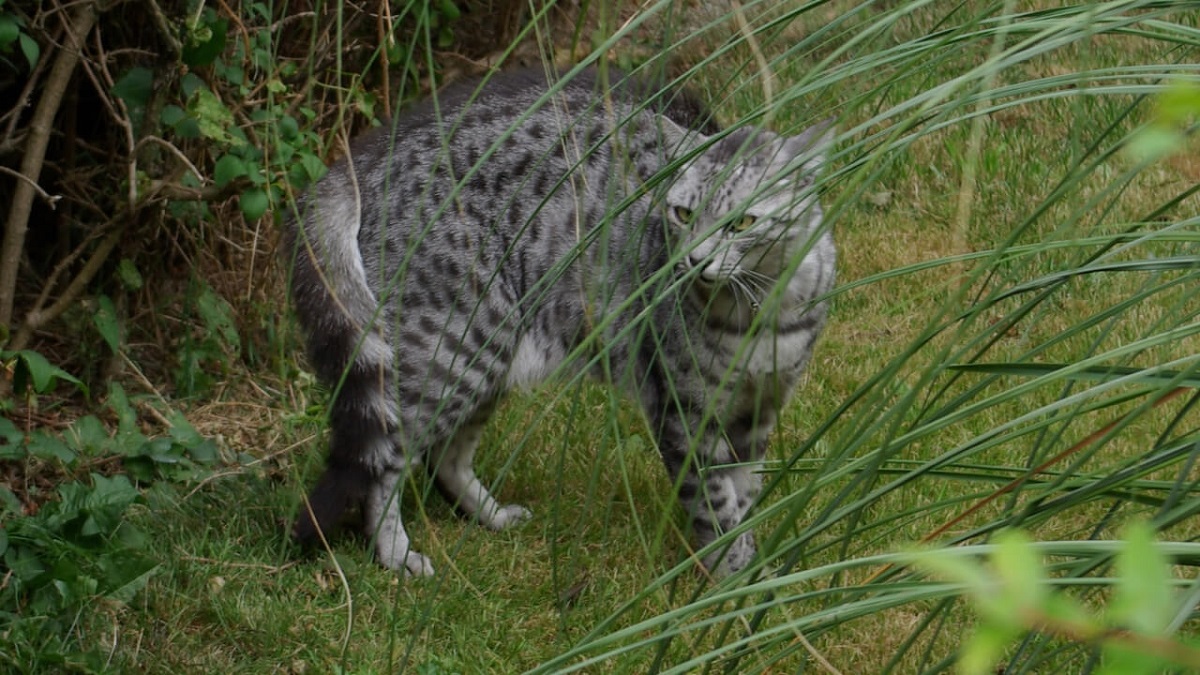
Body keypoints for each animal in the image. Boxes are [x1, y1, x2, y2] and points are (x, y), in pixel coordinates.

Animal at [285, 65, 835, 576]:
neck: (761, 308)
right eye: (682, 215)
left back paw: (489, 515)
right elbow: (716, 504)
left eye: (742, 223)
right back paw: (393, 553)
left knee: (446, 455)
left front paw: (753, 561)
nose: (694, 260)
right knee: (388, 462)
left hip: (486, 356)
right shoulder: (685, 412)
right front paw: (731, 580)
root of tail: (362, 160)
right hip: (452, 352)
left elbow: (745, 493)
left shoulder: (758, 412)